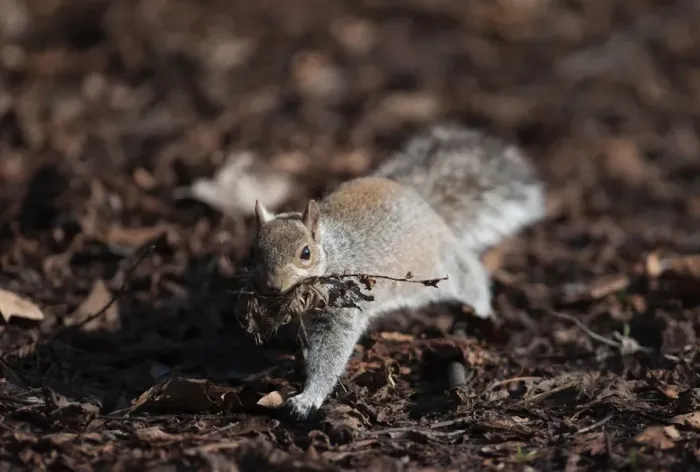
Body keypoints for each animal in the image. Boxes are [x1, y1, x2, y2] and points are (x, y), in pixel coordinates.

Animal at [250, 124, 546, 419]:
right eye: (254, 250)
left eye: (305, 253)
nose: (272, 287)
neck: (332, 252)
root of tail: (422, 201)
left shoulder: (343, 304)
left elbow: (331, 353)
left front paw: (308, 398)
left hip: (439, 267)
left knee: (470, 276)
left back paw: (482, 310)